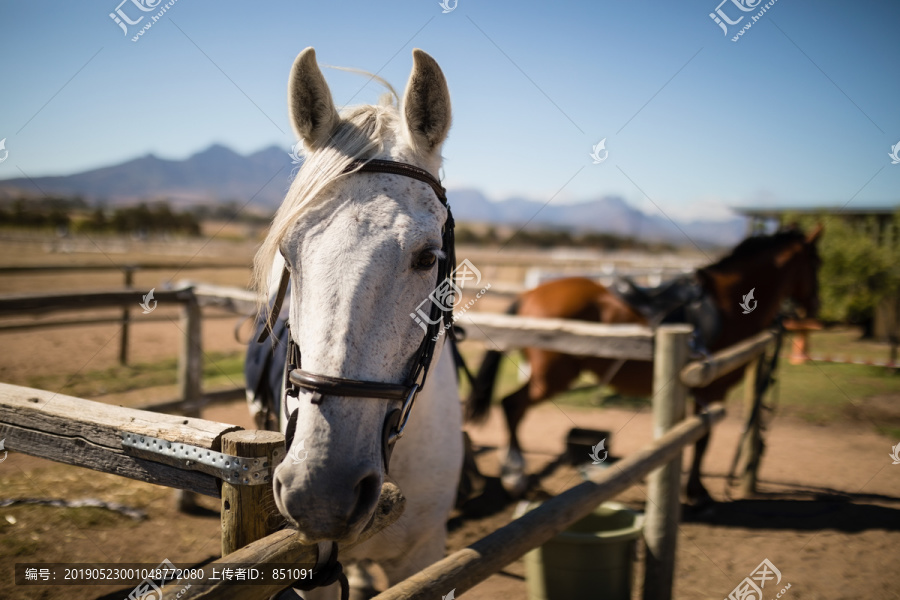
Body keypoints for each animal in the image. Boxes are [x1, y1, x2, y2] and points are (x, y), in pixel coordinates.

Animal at [468, 226, 820, 506]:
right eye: (817, 264)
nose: (814, 308)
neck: (726, 305)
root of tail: (529, 294)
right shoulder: (711, 389)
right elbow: (702, 440)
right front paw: (697, 493)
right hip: (552, 378)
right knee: (512, 405)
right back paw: (516, 476)